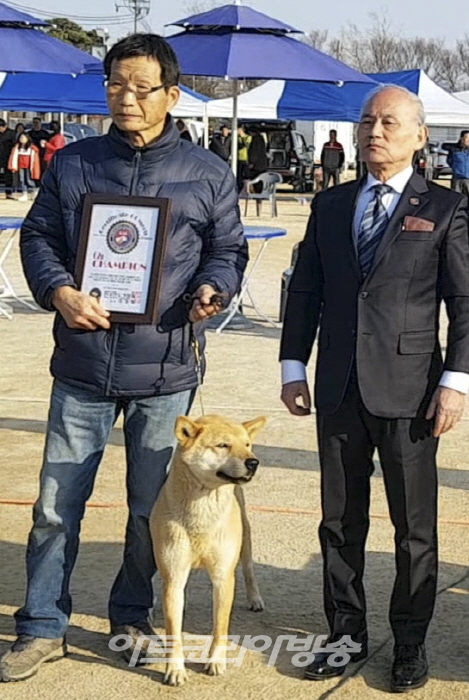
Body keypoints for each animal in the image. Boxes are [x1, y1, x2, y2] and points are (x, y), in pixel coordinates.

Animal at [150, 412, 266, 688]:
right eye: (223, 445)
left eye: (247, 444)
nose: (253, 462)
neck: (201, 516)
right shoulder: (173, 574)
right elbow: (174, 632)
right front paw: (175, 670)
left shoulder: (223, 577)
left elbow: (220, 627)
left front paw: (215, 662)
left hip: (245, 539)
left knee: (248, 569)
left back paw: (255, 598)